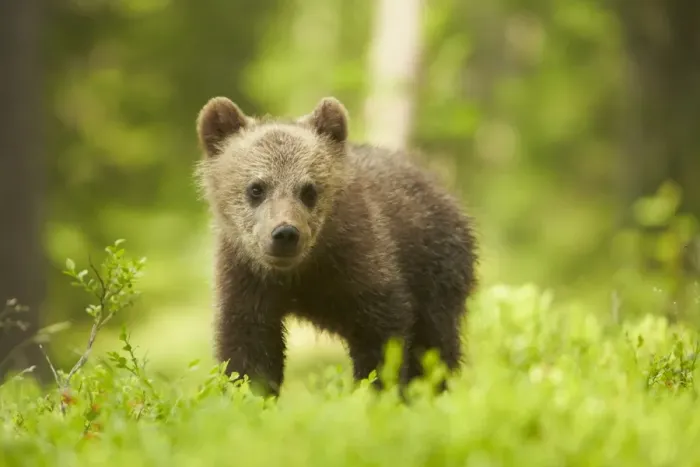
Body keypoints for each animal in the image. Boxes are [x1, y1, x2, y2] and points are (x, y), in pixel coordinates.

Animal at [194, 96, 478, 397]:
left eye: (309, 190)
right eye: (256, 188)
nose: (285, 233)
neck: (303, 271)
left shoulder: (363, 265)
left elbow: (383, 339)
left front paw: (378, 390)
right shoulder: (246, 277)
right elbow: (248, 347)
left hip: (437, 271)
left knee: (436, 342)